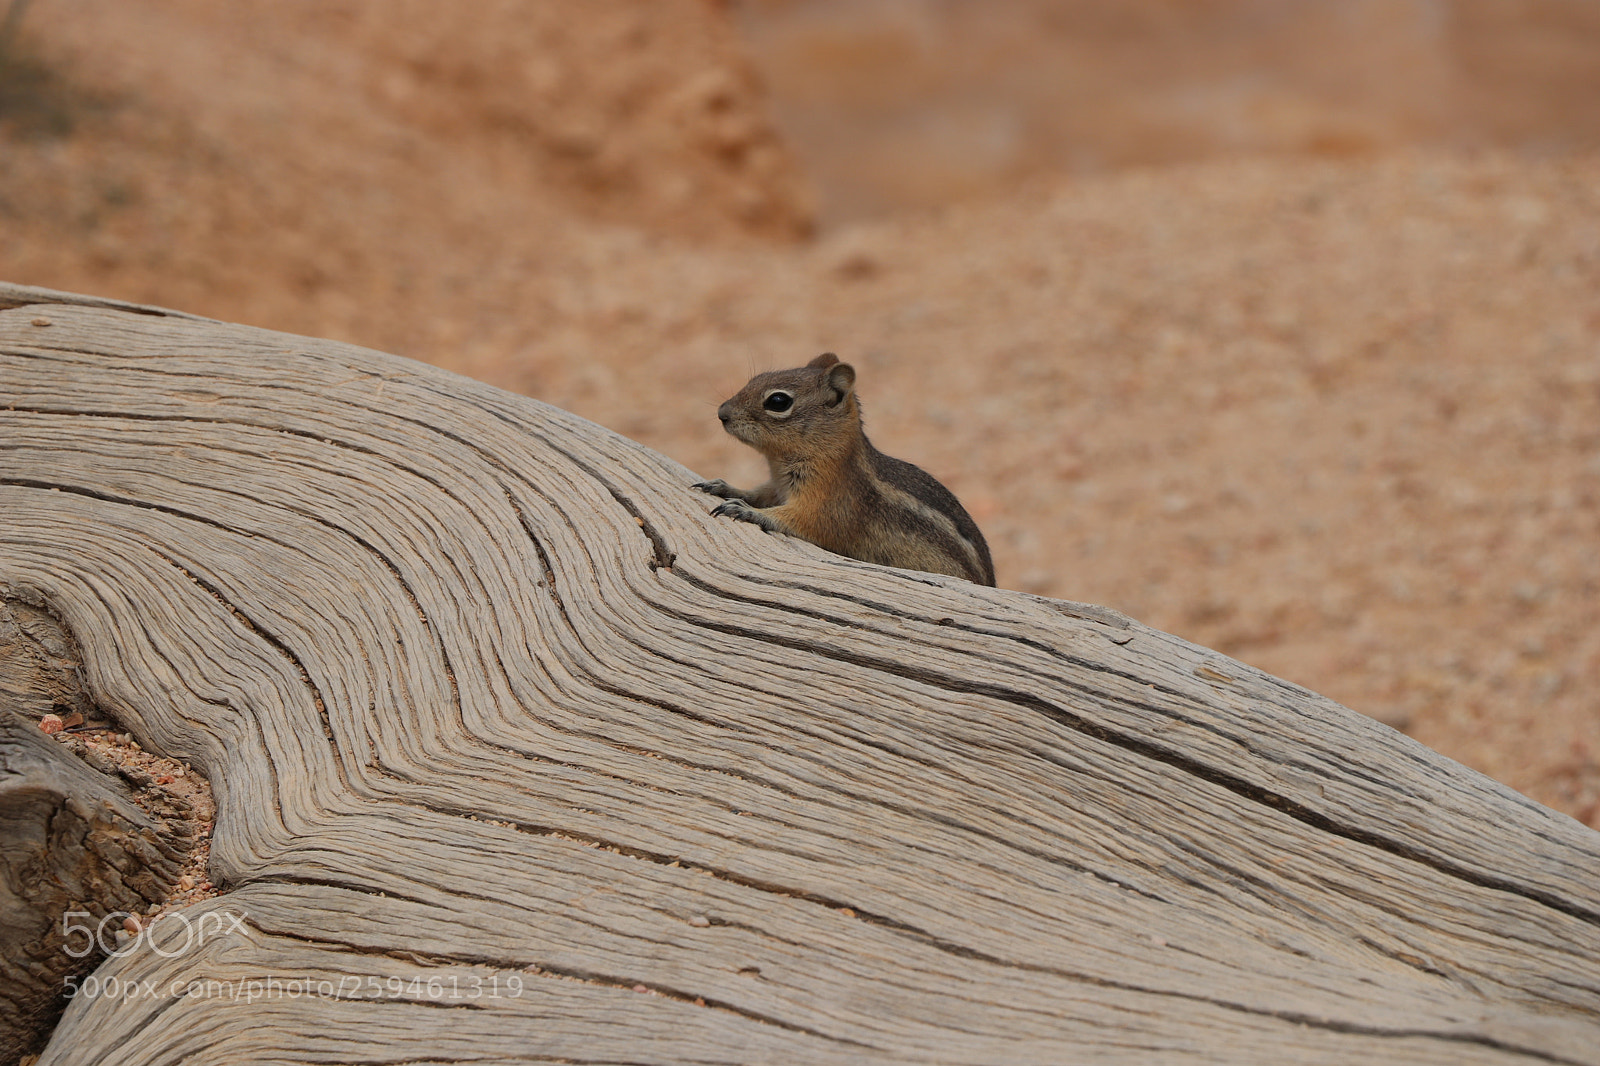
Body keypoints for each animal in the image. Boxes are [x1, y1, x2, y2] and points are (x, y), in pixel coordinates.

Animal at [694, 353, 996, 586]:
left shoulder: (828, 503)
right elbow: (759, 492)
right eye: (756, 378)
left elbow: (801, 520)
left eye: (778, 402)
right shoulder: (777, 487)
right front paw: (724, 487)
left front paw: (747, 511)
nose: (722, 413)